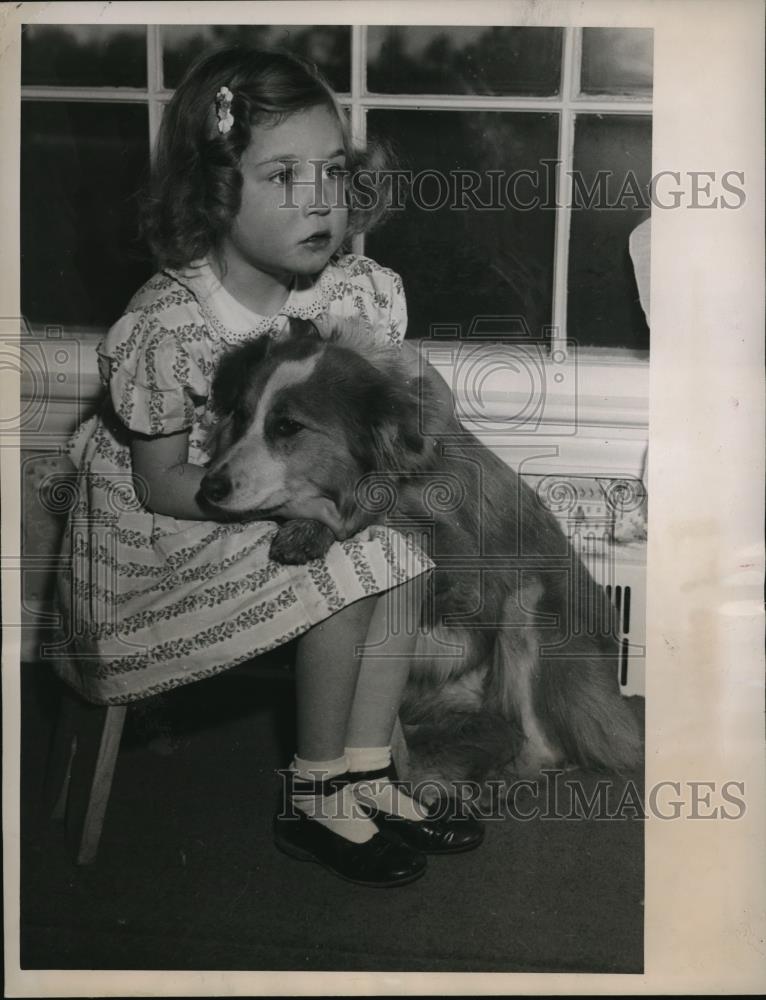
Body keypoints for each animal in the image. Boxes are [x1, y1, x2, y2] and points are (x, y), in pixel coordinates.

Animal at [198, 320, 640, 788]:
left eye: (287, 427)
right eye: (241, 416)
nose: (209, 487)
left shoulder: (463, 584)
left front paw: (313, 527)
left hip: (531, 606)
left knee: (541, 745)